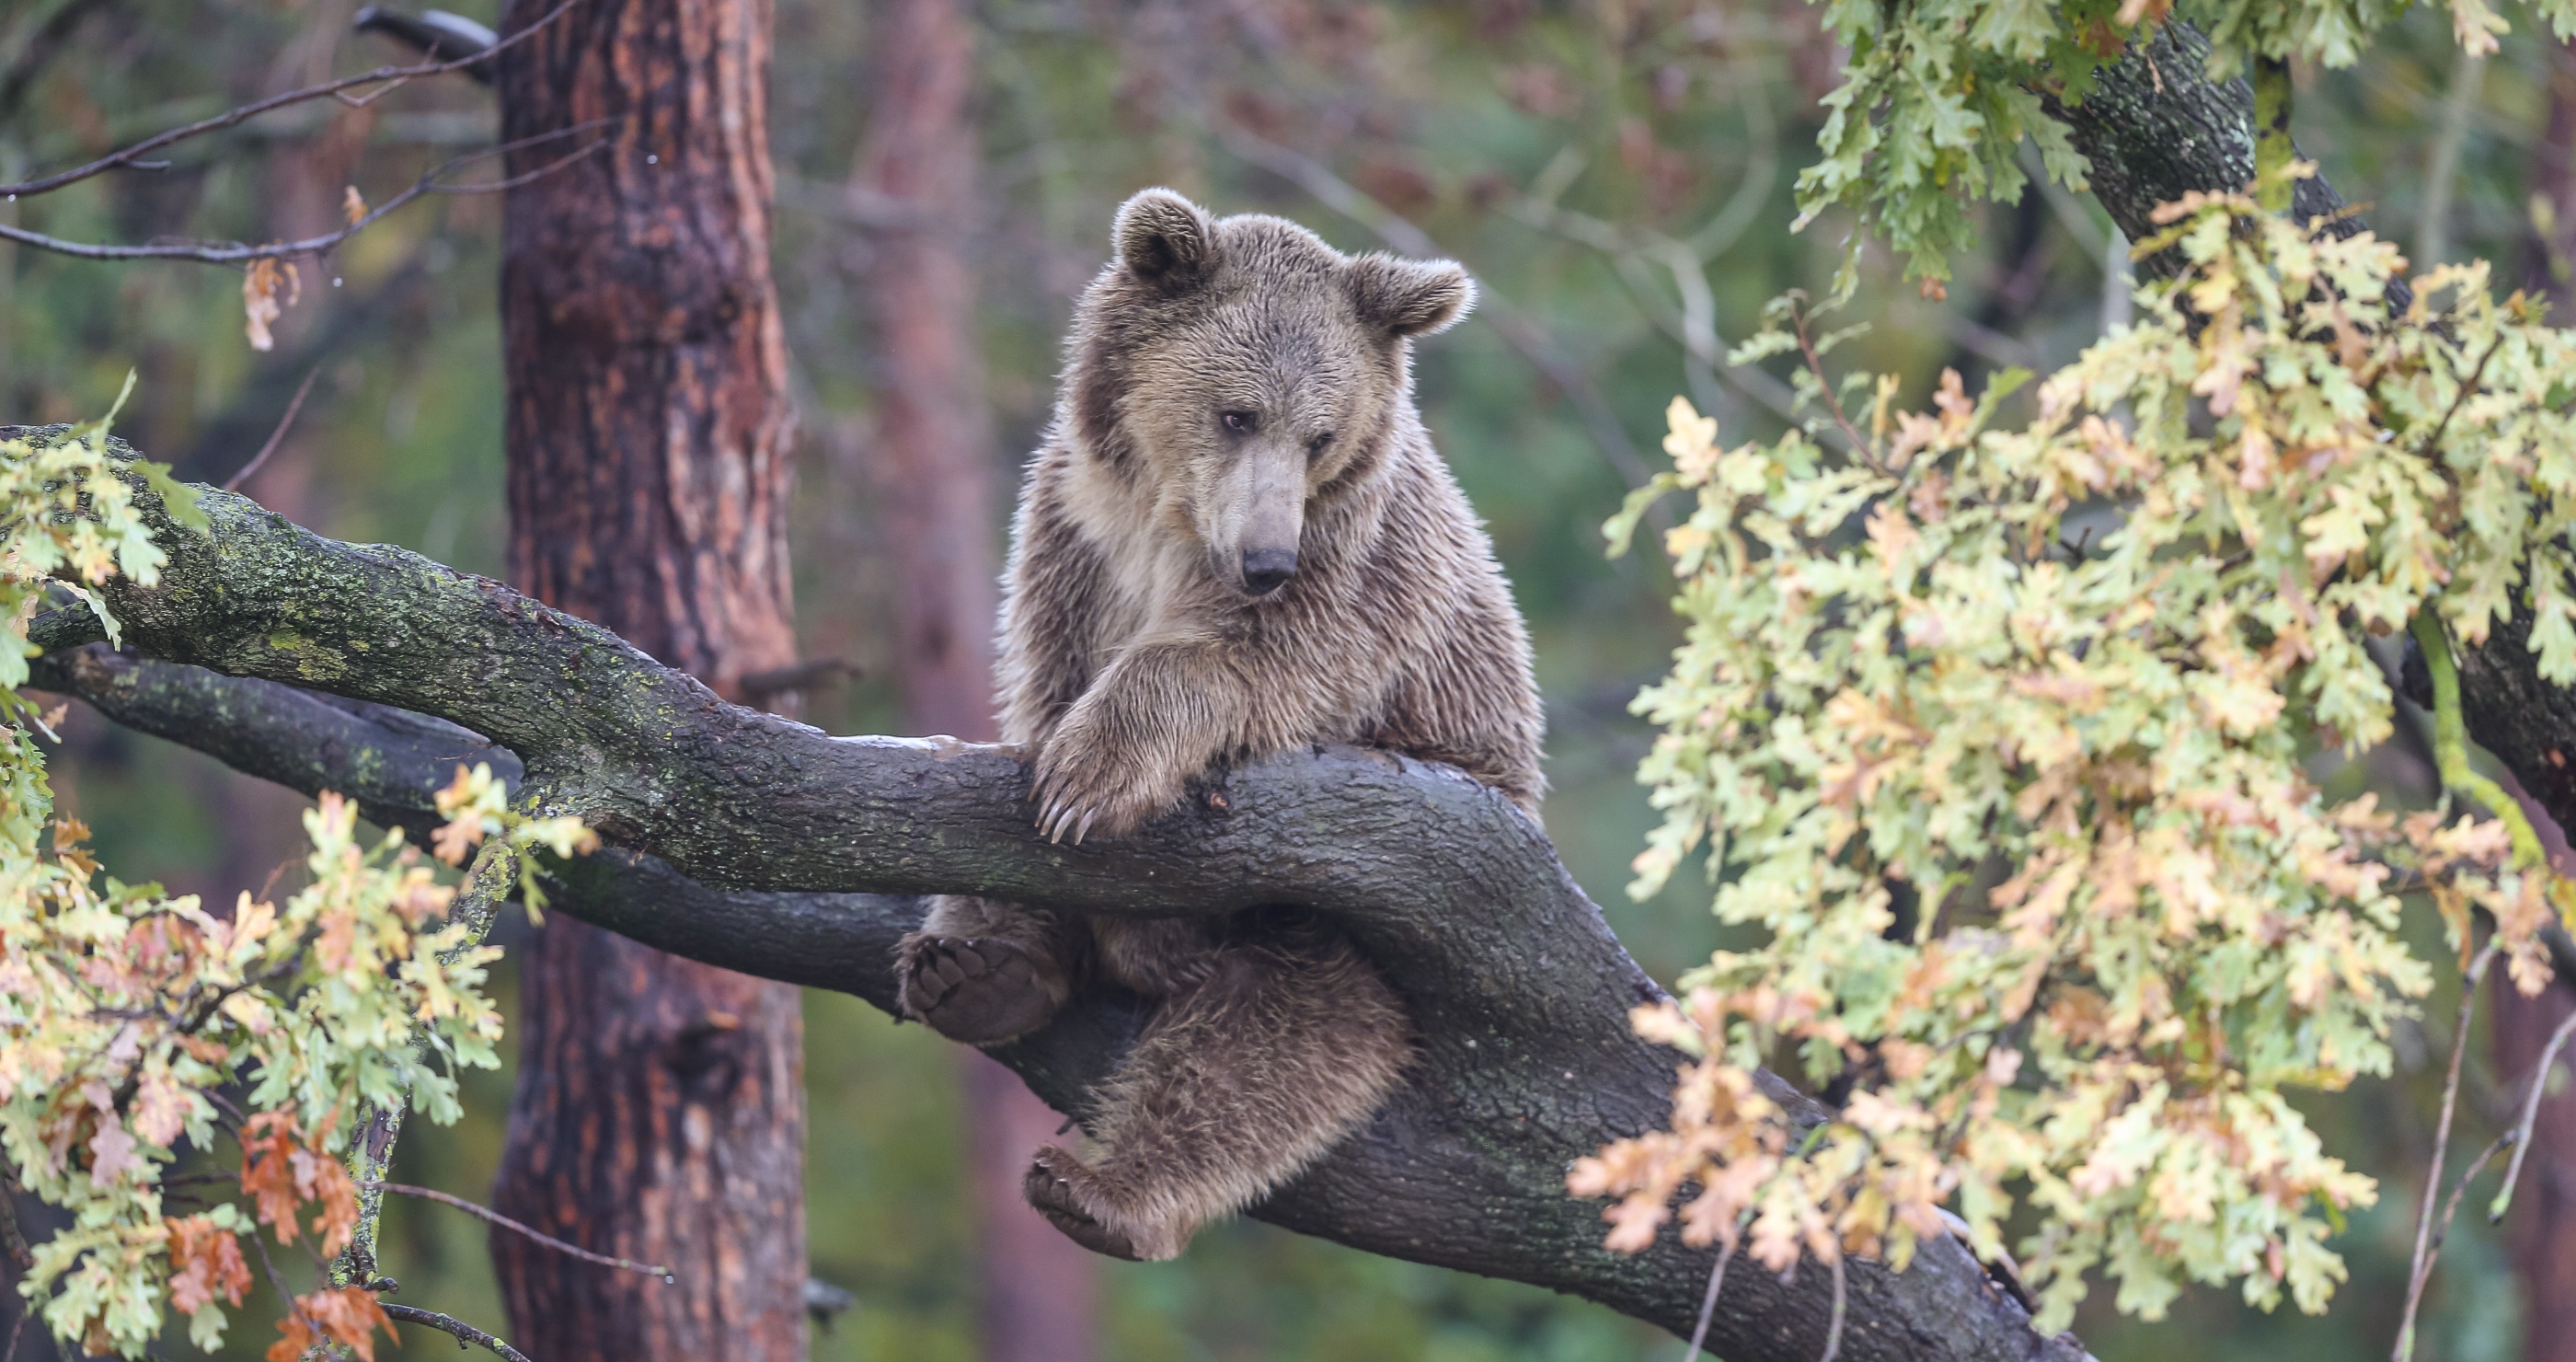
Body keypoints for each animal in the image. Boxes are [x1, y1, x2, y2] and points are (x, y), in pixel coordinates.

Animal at [896, 185, 1535, 1256]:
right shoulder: (1072, 538)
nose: (1267, 559)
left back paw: (1101, 1191)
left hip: (1381, 914)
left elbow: (1248, 668)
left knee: (1266, 1039)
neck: (1166, 517)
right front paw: (1047, 810)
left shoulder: (1352, 568)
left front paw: (1091, 776)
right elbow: (1037, 703)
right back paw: (978, 972)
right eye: (1237, 413)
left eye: (1320, 433)